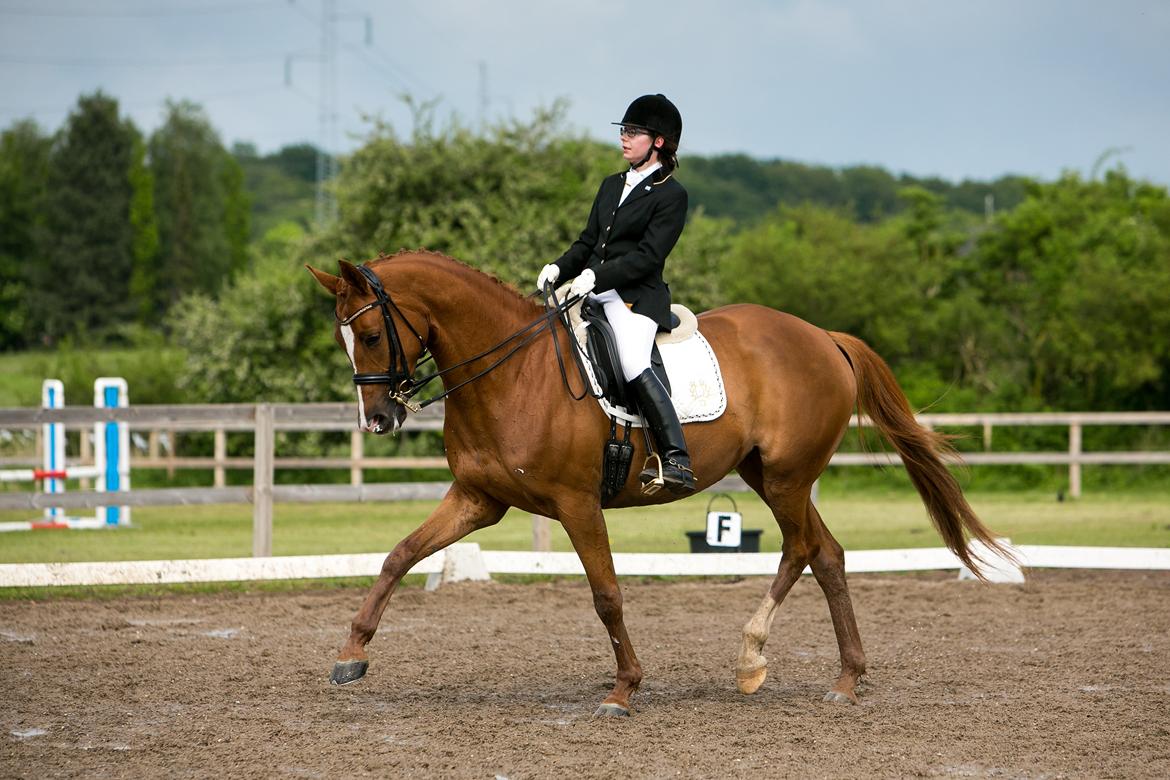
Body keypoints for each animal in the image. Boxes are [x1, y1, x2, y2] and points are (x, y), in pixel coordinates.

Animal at [304, 253, 1006, 715]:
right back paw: (831, 676)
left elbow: (607, 595)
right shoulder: (478, 501)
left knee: (807, 549)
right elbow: (398, 555)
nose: (379, 419)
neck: (511, 374)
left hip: (786, 478)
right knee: (824, 554)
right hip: (767, 475)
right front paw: (350, 654)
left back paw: (771, 662)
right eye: (344, 339)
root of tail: (822, 337)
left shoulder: (576, 504)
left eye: (371, 333)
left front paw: (624, 689)